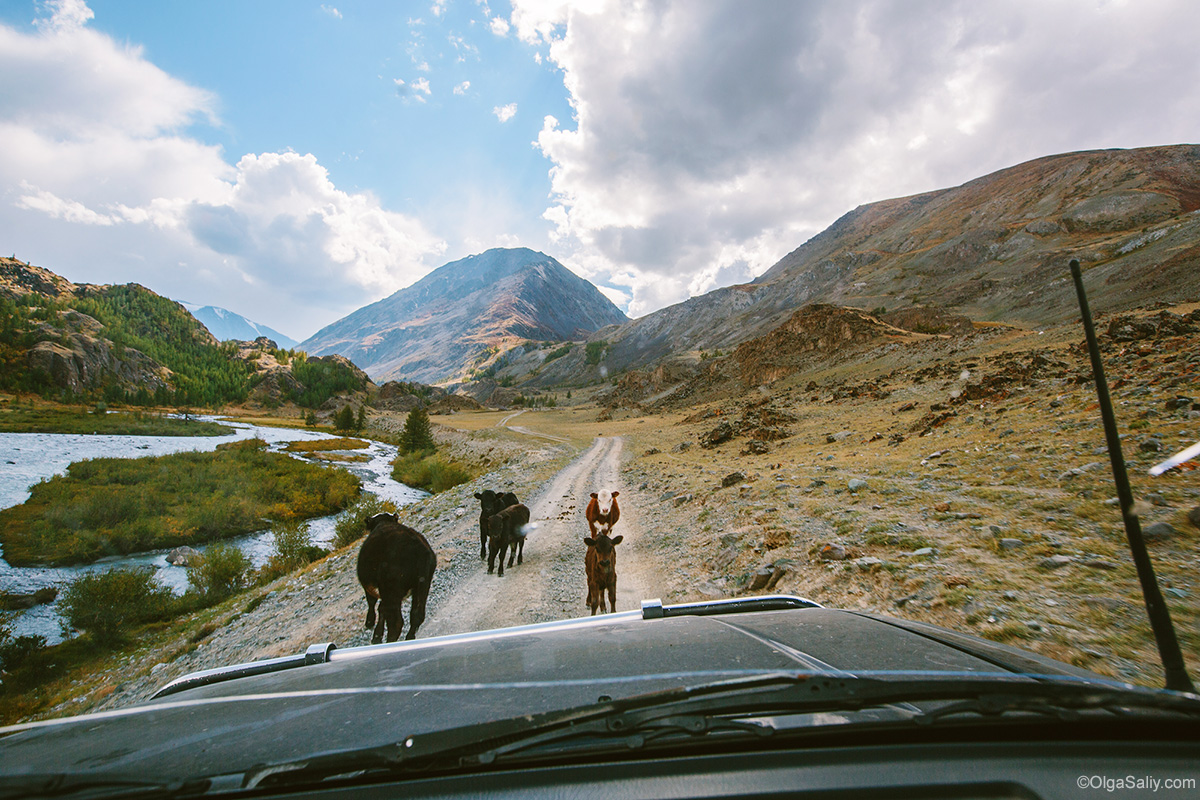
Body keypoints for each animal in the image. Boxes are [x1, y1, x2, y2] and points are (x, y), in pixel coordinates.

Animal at [357, 513, 439, 642]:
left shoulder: (371, 587)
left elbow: (372, 602)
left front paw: (370, 623)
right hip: (422, 585)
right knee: (417, 614)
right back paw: (409, 637)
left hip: (391, 592)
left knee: (396, 623)